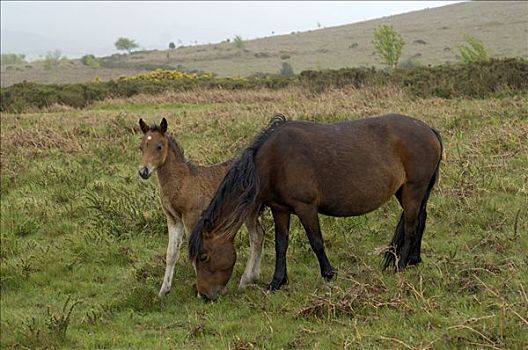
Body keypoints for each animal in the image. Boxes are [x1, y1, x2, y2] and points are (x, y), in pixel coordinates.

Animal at [138, 117, 266, 298]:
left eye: (159, 146)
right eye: (141, 147)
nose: (143, 171)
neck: (182, 180)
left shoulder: (191, 217)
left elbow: (194, 251)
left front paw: (200, 292)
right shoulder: (173, 219)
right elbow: (171, 253)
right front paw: (164, 290)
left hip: (249, 211)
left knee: (256, 236)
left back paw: (245, 280)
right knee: (258, 235)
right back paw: (253, 277)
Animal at [188, 113, 444, 300]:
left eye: (203, 256)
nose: (204, 295)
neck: (272, 162)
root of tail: (429, 130)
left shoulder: (306, 208)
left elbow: (316, 242)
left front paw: (328, 274)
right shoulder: (280, 209)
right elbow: (281, 245)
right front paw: (277, 282)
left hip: (414, 189)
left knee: (410, 227)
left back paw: (400, 266)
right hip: (410, 192)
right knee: (420, 219)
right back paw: (414, 260)